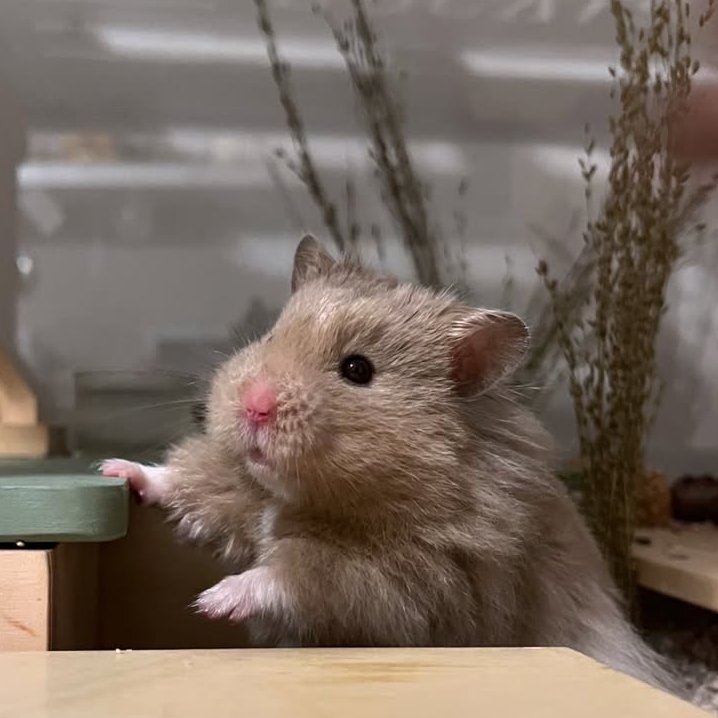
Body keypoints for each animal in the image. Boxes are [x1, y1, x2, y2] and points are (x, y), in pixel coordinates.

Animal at [101, 235, 672, 690]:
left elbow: (292, 575)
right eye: (270, 337)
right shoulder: (243, 490)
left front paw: (213, 600)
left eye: (358, 370)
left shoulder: (411, 581)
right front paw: (116, 469)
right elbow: (194, 484)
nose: (254, 405)